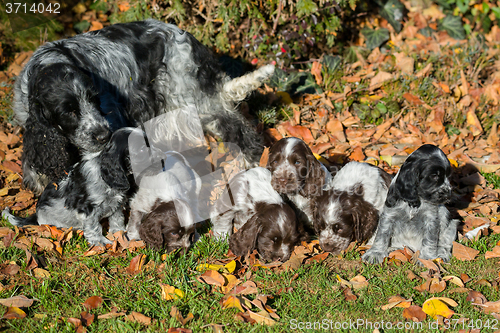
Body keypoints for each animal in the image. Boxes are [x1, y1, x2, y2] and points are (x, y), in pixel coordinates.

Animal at [1, 127, 139, 244]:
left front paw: (119, 233)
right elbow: (94, 226)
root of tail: (36, 216)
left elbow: (117, 218)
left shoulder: (117, 203)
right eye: (141, 149)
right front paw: (100, 243)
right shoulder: (87, 208)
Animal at [14, 19, 274, 193]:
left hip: (191, 98)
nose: (103, 135)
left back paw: (252, 163)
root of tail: (191, 41)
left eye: (94, 99)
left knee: (238, 128)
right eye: (68, 111)